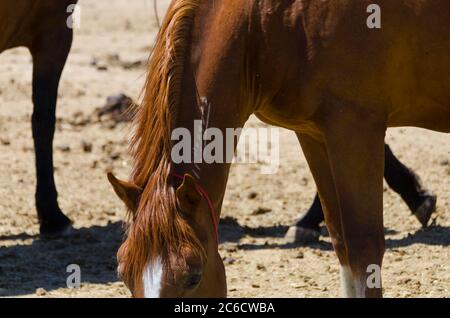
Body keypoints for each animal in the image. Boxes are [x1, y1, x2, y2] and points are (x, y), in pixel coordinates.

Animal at [109, 0, 450, 298]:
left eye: (193, 275)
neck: (258, 22)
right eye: (123, 272)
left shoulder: (355, 127)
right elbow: (341, 240)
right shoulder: (314, 134)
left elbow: (363, 246)